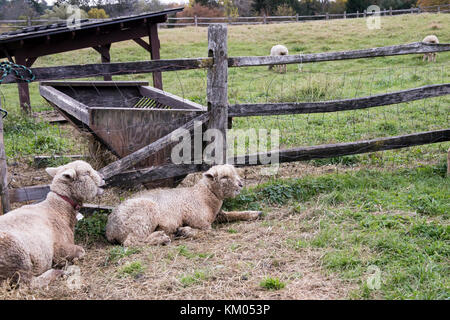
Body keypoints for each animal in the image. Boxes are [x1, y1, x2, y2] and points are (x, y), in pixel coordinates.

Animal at [0, 160, 104, 288]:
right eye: (86, 173)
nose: (103, 178)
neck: (56, 209)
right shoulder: (58, 246)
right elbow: (81, 251)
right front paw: (63, 261)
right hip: (17, 255)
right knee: (28, 282)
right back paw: (57, 272)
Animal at [105, 164, 260, 246]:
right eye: (224, 177)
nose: (240, 185)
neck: (203, 195)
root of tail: (110, 230)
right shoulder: (197, 219)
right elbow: (207, 231)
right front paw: (185, 231)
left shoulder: (217, 215)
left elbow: (231, 215)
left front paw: (254, 213)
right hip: (144, 215)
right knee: (131, 241)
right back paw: (161, 238)